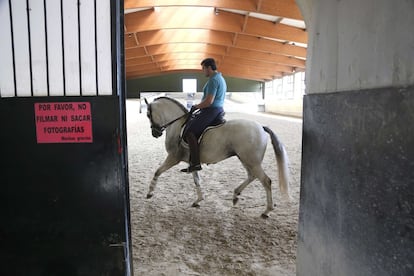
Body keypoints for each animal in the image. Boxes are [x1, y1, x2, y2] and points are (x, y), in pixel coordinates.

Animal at [144, 97, 290, 218]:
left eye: (148, 115)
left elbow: (157, 171)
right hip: (246, 159)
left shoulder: (173, 158)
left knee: (266, 181)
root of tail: (261, 127)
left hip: (251, 161)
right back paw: (235, 195)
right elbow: (197, 180)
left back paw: (267, 211)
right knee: (252, 176)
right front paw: (198, 200)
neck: (178, 125)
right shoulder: (192, 163)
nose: (155, 133)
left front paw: (150, 192)